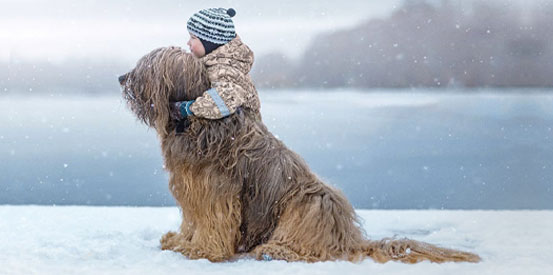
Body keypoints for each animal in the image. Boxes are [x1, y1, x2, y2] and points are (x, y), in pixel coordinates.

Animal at [119, 47, 478, 266]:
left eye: (148, 67)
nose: (122, 78)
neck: (194, 120)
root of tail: (349, 238)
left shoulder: (215, 191)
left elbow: (213, 223)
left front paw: (201, 250)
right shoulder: (192, 188)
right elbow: (192, 219)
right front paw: (180, 240)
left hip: (311, 201)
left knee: (310, 245)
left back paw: (275, 249)